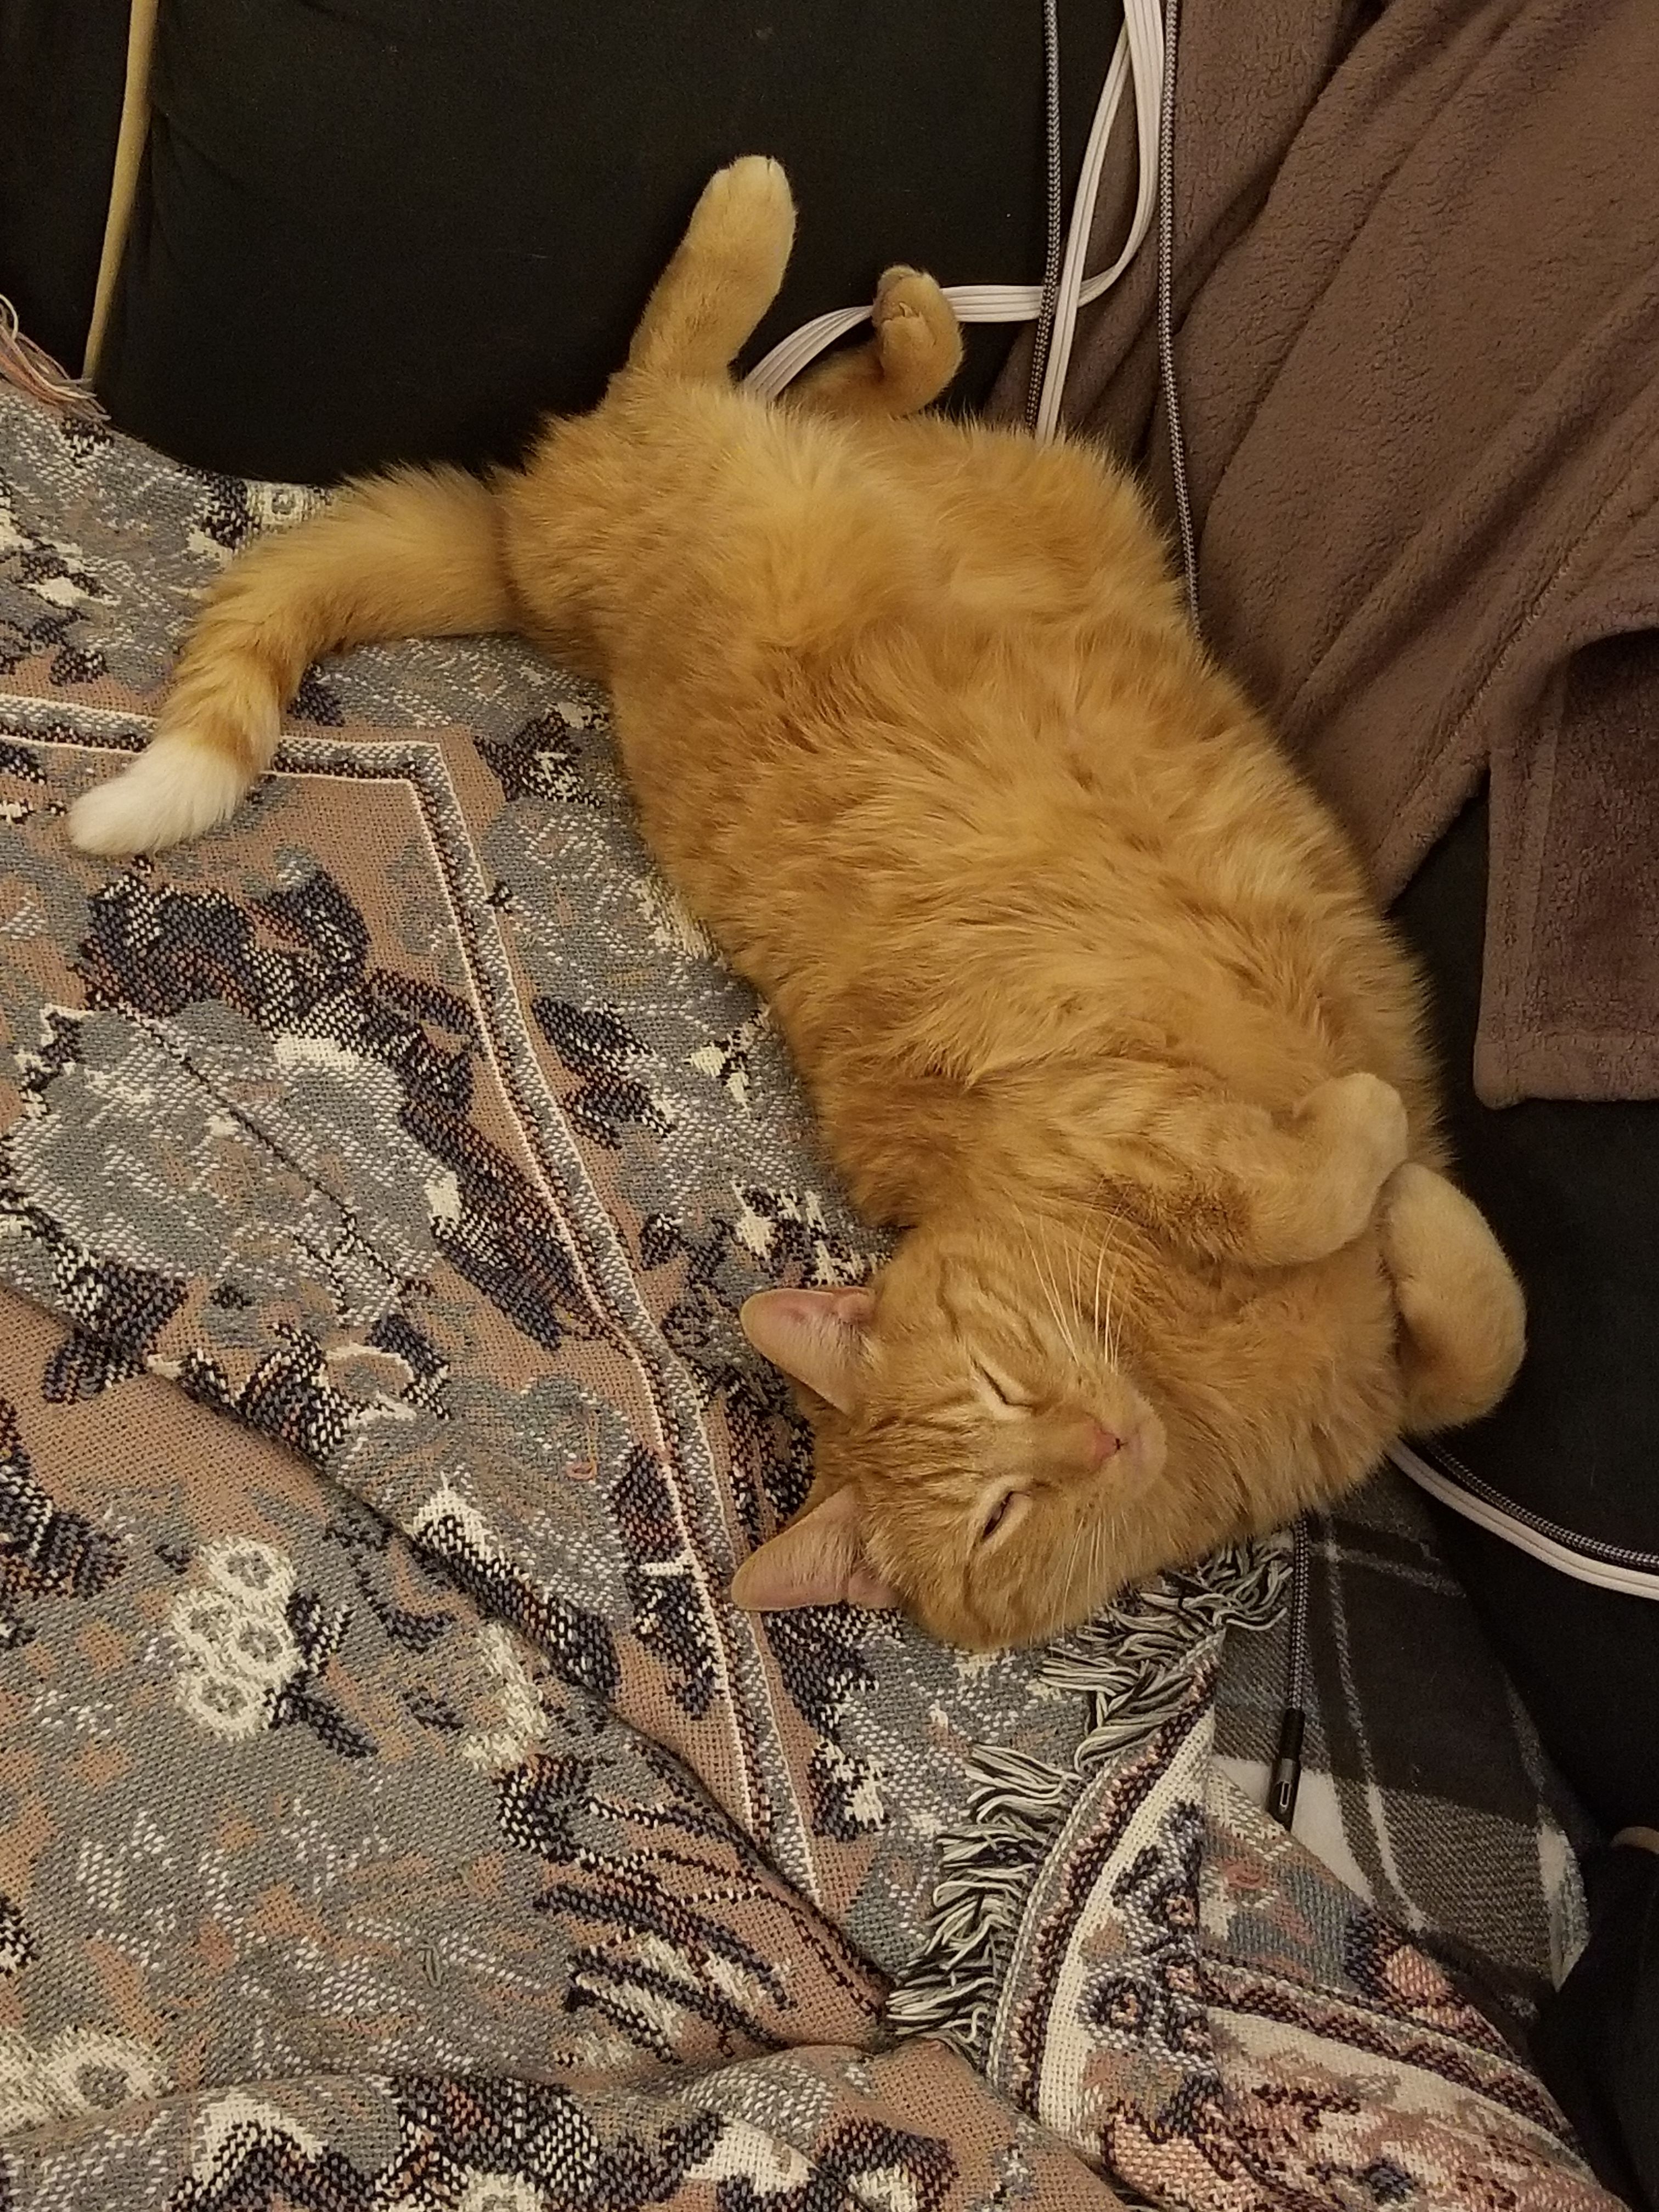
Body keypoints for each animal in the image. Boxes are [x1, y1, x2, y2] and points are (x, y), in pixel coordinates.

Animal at [65, 160, 1531, 1645]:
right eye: (996, 1503)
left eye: (1003, 1385)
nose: (1094, 1442)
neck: (1171, 1367)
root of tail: (541, 596)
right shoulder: (1131, 1115)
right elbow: (1347, 1223)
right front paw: (1389, 1161)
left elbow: (1480, 1342)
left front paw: (1415, 1207)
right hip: (699, 475)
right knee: (672, 367)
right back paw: (767, 229)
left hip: (804, 471)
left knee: (783, 386)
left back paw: (883, 294)